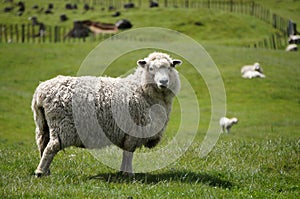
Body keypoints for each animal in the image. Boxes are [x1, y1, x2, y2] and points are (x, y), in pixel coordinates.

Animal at [31, 51, 182, 177]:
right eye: (151, 68)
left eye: (170, 67)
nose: (163, 82)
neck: (141, 90)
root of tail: (41, 92)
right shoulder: (133, 131)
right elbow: (129, 153)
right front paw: (129, 174)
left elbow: (126, 153)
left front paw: (122, 172)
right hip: (61, 126)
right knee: (52, 146)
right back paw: (40, 172)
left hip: (43, 124)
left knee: (42, 145)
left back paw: (46, 171)